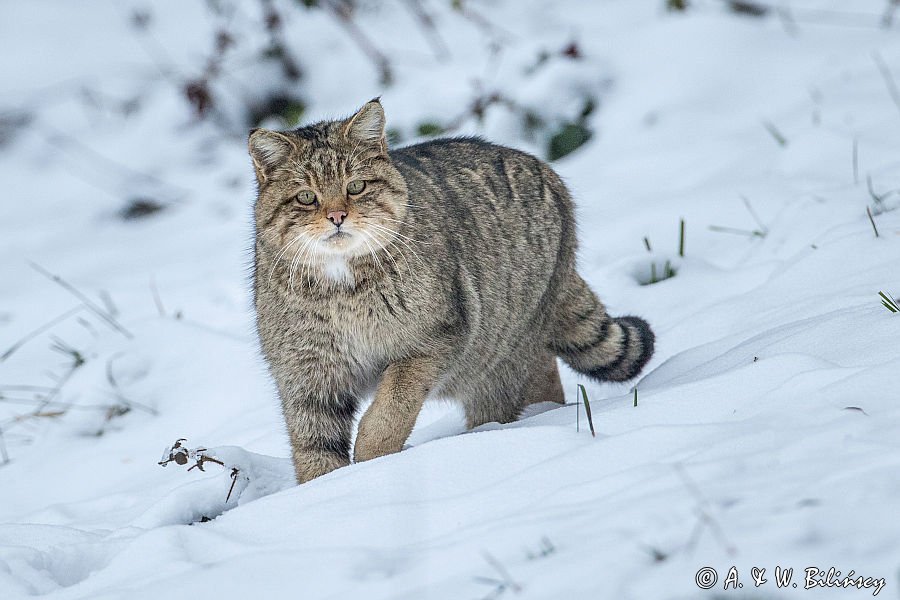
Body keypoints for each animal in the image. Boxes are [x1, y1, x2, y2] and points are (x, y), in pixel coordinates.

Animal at [250, 98, 652, 482]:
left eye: (356, 186)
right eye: (306, 197)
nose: (337, 217)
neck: (340, 289)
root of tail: (549, 173)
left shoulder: (436, 339)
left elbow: (391, 407)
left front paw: (373, 460)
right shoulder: (307, 376)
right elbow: (315, 451)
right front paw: (330, 487)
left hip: (498, 359)